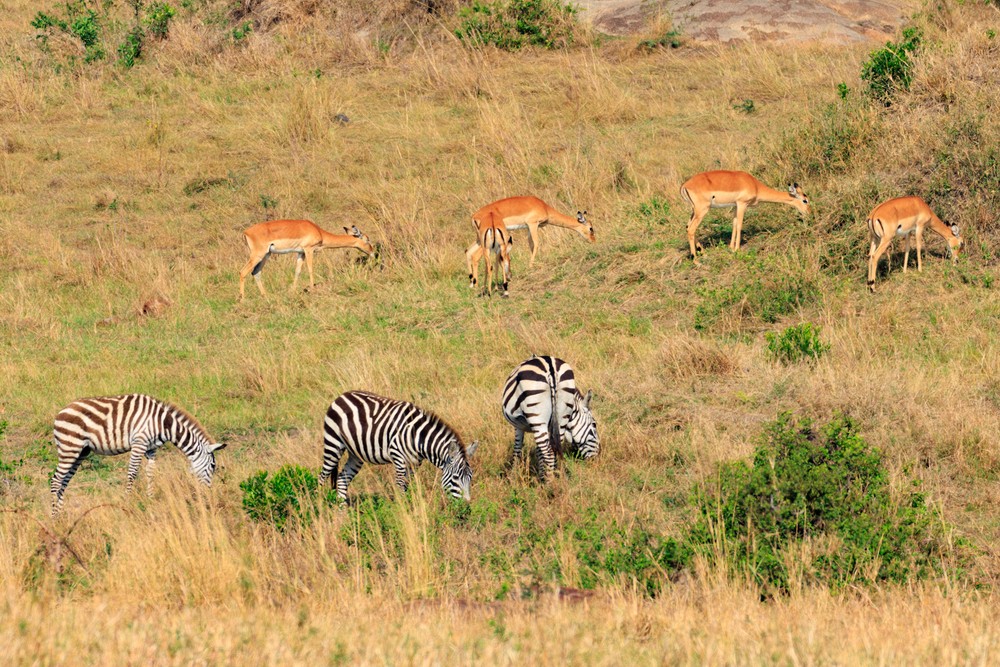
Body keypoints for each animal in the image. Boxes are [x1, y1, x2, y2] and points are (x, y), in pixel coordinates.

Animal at [51, 394, 226, 515]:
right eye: (213, 466)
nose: (208, 494)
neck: (164, 423)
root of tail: (59, 413)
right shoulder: (139, 443)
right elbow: (132, 473)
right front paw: (127, 503)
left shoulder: (151, 448)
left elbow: (150, 473)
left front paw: (150, 499)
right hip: (70, 448)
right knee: (56, 480)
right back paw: (54, 516)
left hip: (80, 452)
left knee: (64, 481)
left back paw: (61, 514)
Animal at [238, 220, 373, 300]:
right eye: (367, 239)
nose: (372, 253)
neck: (319, 232)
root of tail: (246, 232)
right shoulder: (309, 250)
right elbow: (310, 269)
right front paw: (312, 290)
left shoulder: (301, 253)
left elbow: (297, 271)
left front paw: (292, 291)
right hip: (258, 255)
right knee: (243, 271)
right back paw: (242, 299)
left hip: (266, 255)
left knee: (256, 272)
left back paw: (265, 295)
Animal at [319, 390, 478, 502]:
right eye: (455, 478)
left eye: (470, 477)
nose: (466, 504)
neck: (418, 437)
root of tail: (342, 396)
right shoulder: (399, 458)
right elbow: (401, 488)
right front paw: (402, 513)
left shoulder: (414, 464)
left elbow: (406, 487)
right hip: (333, 445)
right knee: (322, 477)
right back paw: (320, 509)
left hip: (356, 454)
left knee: (342, 479)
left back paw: (342, 513)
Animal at [464, 196, 595, 276]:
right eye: (591, 228)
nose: (593, 241)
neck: (544, 207)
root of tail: (474, 216)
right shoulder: (533, 224)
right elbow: (536, 244)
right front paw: (531, 266)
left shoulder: (528, 228)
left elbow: (531, 245)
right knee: (475, 256)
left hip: (479, 239)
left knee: (468, 251)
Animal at [680, 170, 811, 260]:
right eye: (805, 200)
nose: (809, 213)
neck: (755, 185)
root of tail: (684, 185)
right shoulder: (742, 204)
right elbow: (739, 225)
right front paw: (737, 250)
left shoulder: (735, 206)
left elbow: (734, 224)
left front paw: (731, 248)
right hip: (702, 210)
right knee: (691, 229)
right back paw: (696, 260)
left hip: (694, 211)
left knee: (687, 227)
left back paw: (704, 254)